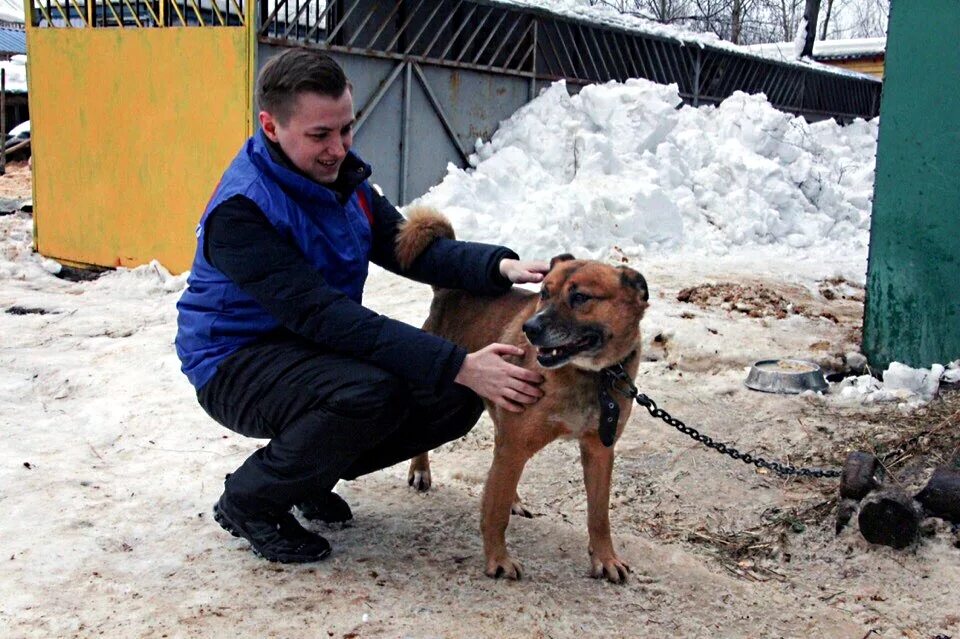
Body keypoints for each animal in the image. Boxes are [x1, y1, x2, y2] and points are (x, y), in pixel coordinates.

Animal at [394, 208, 648, 584]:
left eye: (581, 298)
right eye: (544, 293)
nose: (531, 329)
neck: (589, 375)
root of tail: (449, 289)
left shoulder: (599, 450)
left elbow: (599, 515)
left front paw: (605, 558)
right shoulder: (516, 442)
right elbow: (494, 512)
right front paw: (497, 559)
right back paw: (421, 471)